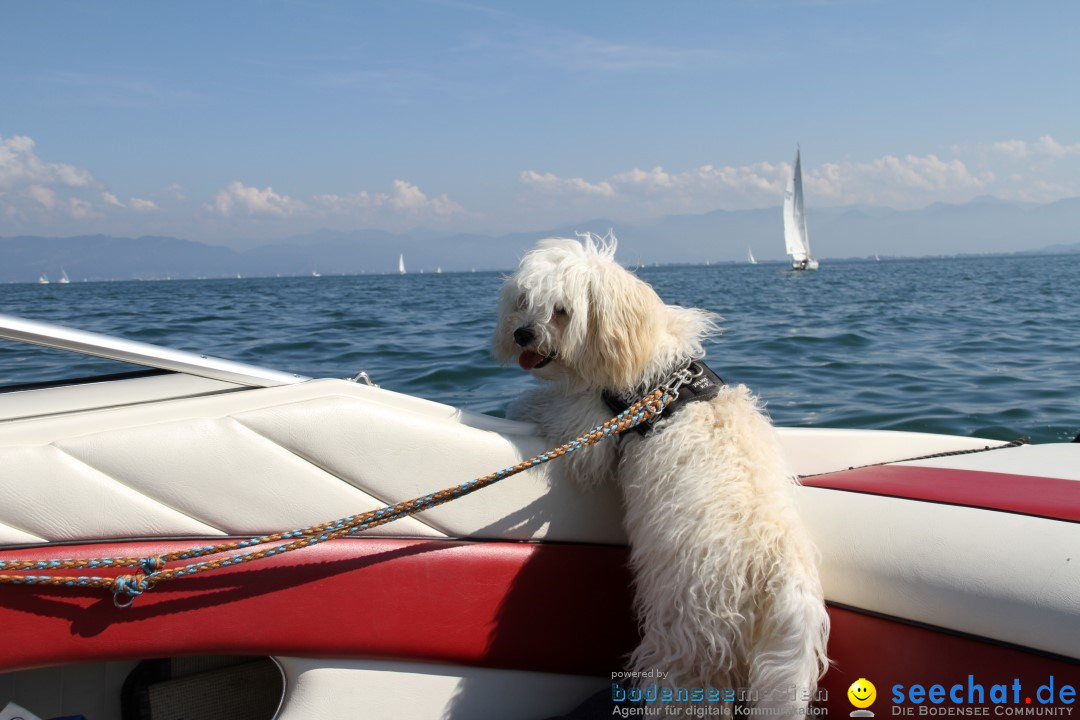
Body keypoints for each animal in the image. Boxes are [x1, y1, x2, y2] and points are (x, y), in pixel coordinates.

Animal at [494, 236, 829, 716]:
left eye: (560, 311)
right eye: (524, 302)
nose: (522, 333)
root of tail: (779, 576)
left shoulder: (590, 423)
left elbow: (547, 407)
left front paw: (517, 406)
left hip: (686, 639)